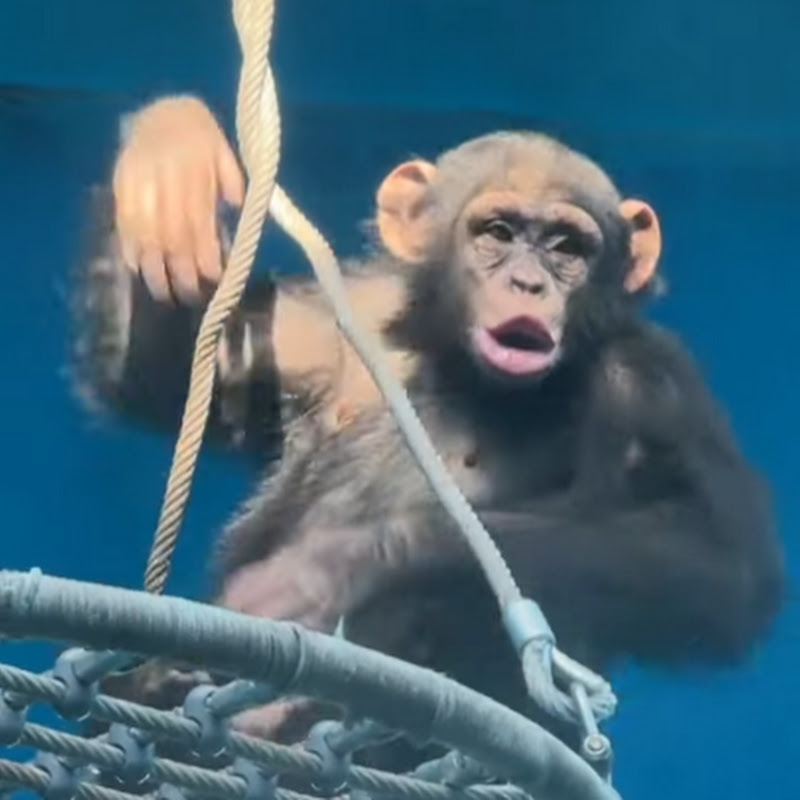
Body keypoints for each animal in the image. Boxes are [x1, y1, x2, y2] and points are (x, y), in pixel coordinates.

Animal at [70, 96, 784, 772]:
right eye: (497, 231)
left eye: (567, 247)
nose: (528, 281)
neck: (458, 361)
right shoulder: (321, 327)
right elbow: (170, 384)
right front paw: (171, 167)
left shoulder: (654, 385)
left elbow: (714, 561)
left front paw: (334, 565)